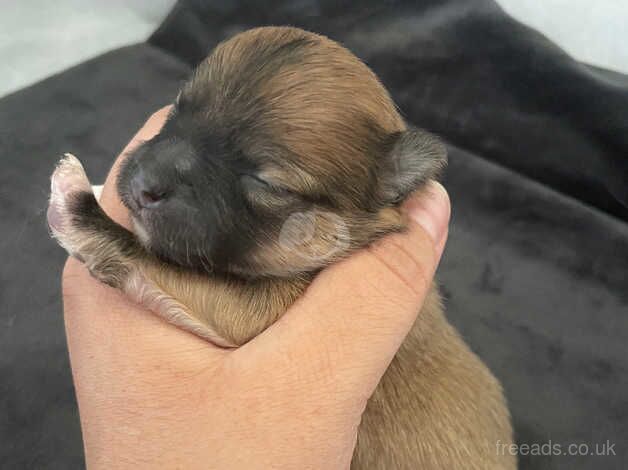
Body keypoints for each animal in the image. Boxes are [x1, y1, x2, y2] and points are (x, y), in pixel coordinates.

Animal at [47, 26, 516, 470]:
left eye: (267, 184)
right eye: (178, 107)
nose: (145, 184)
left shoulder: (254, 310)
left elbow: (146, 258)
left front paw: (77, 202)